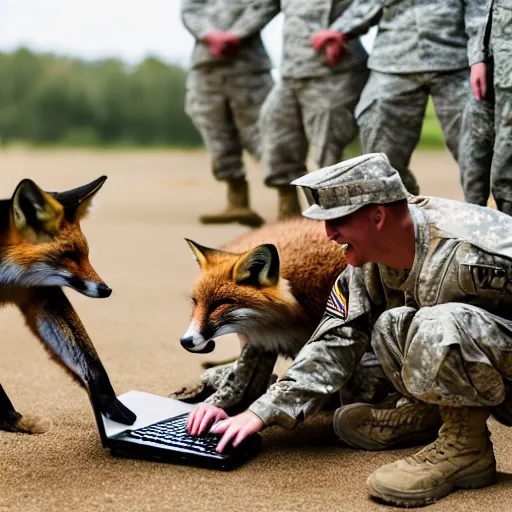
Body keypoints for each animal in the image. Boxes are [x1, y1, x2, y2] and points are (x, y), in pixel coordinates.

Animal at [0, 177, 135, 436]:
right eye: (70, 255)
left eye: (87, 254)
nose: (107, 290)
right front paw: (10, 419)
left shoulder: (39, 294)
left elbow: (89, 360)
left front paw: (108, 401)